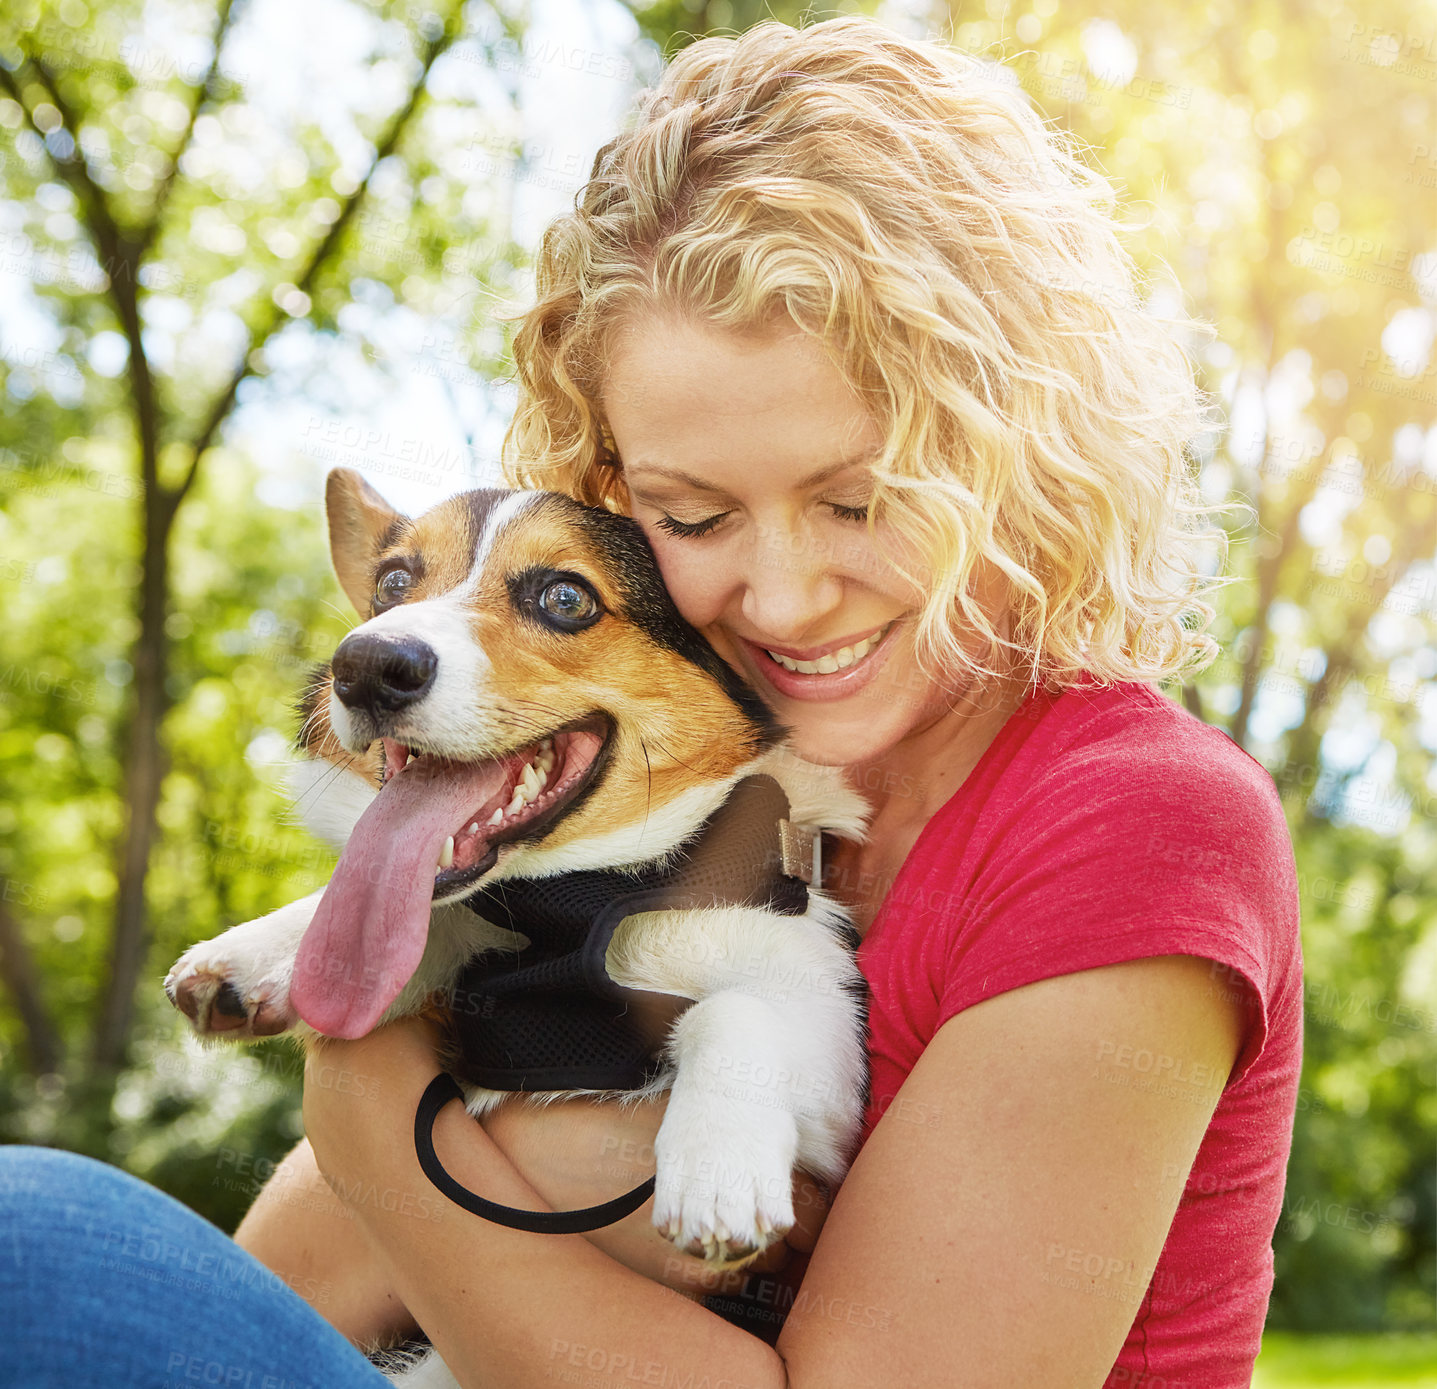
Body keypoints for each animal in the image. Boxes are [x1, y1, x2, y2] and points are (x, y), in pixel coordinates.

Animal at [163, 471, 867, 1304]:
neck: (578, 909)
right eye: (392, 583)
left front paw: (716, 1172)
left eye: (565, 598)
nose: (365, 663)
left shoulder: (825, 1054)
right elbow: (422, 925)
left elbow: (733, 1010)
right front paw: (262, 952)